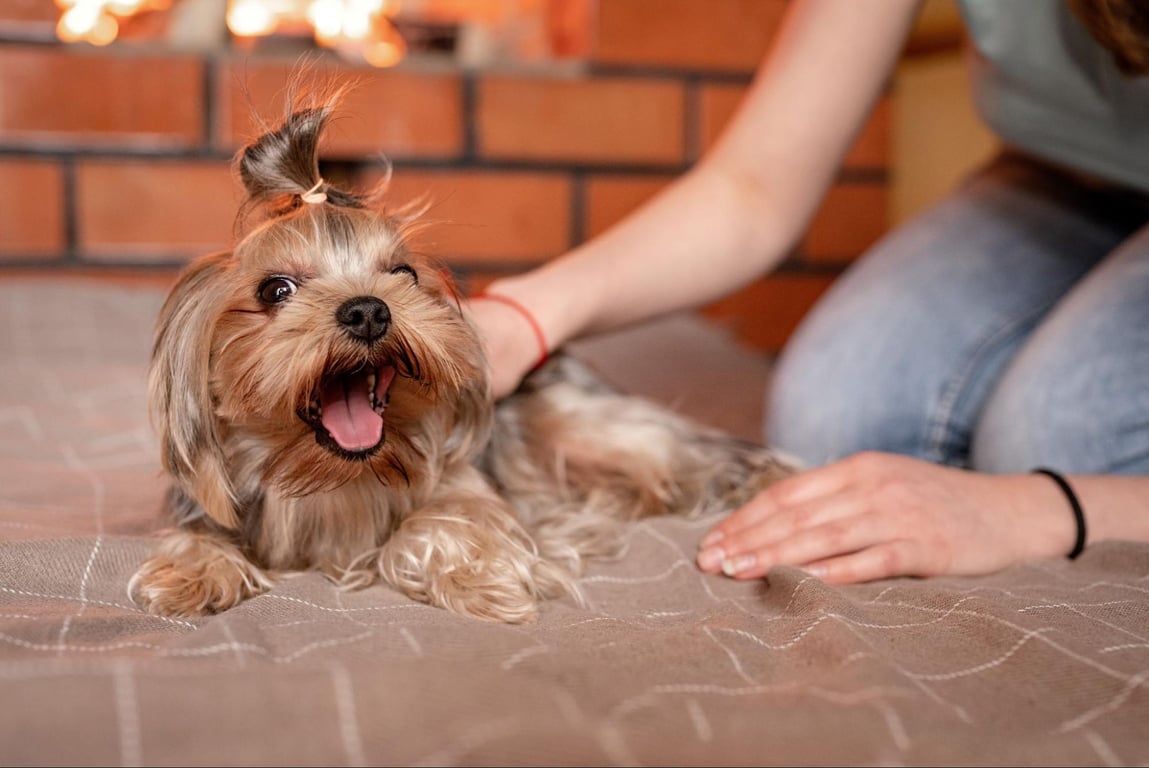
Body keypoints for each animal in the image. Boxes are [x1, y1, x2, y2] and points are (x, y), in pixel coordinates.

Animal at [125, 90, 790, 620]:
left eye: (403, 274)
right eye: (274, 290)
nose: (368, 311)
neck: (334, 483)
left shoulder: (470, 490)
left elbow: (439, 523)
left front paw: (481, 582)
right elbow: (197, 538)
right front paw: (190, 573)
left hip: (594, 430)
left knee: (697, 458)